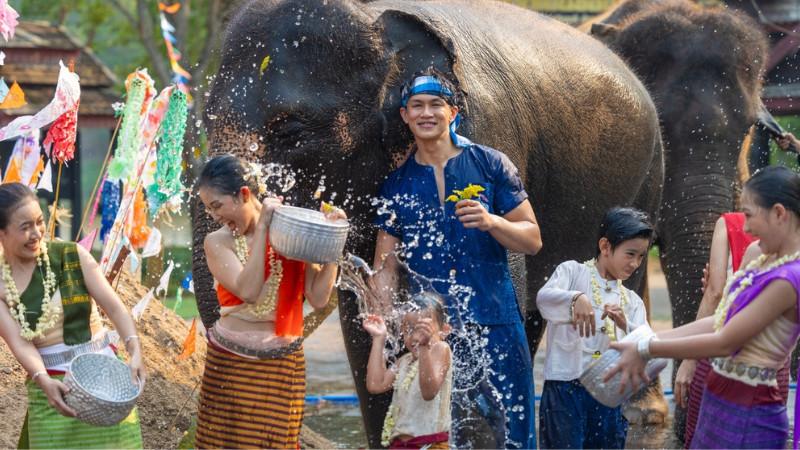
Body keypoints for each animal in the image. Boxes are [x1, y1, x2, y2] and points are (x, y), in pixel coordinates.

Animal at [192, 0, 664, 444]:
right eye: (206, 117)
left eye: (290, 130)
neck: (373, 16)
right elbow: (362, 325)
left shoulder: (489, 127)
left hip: (648, 177)